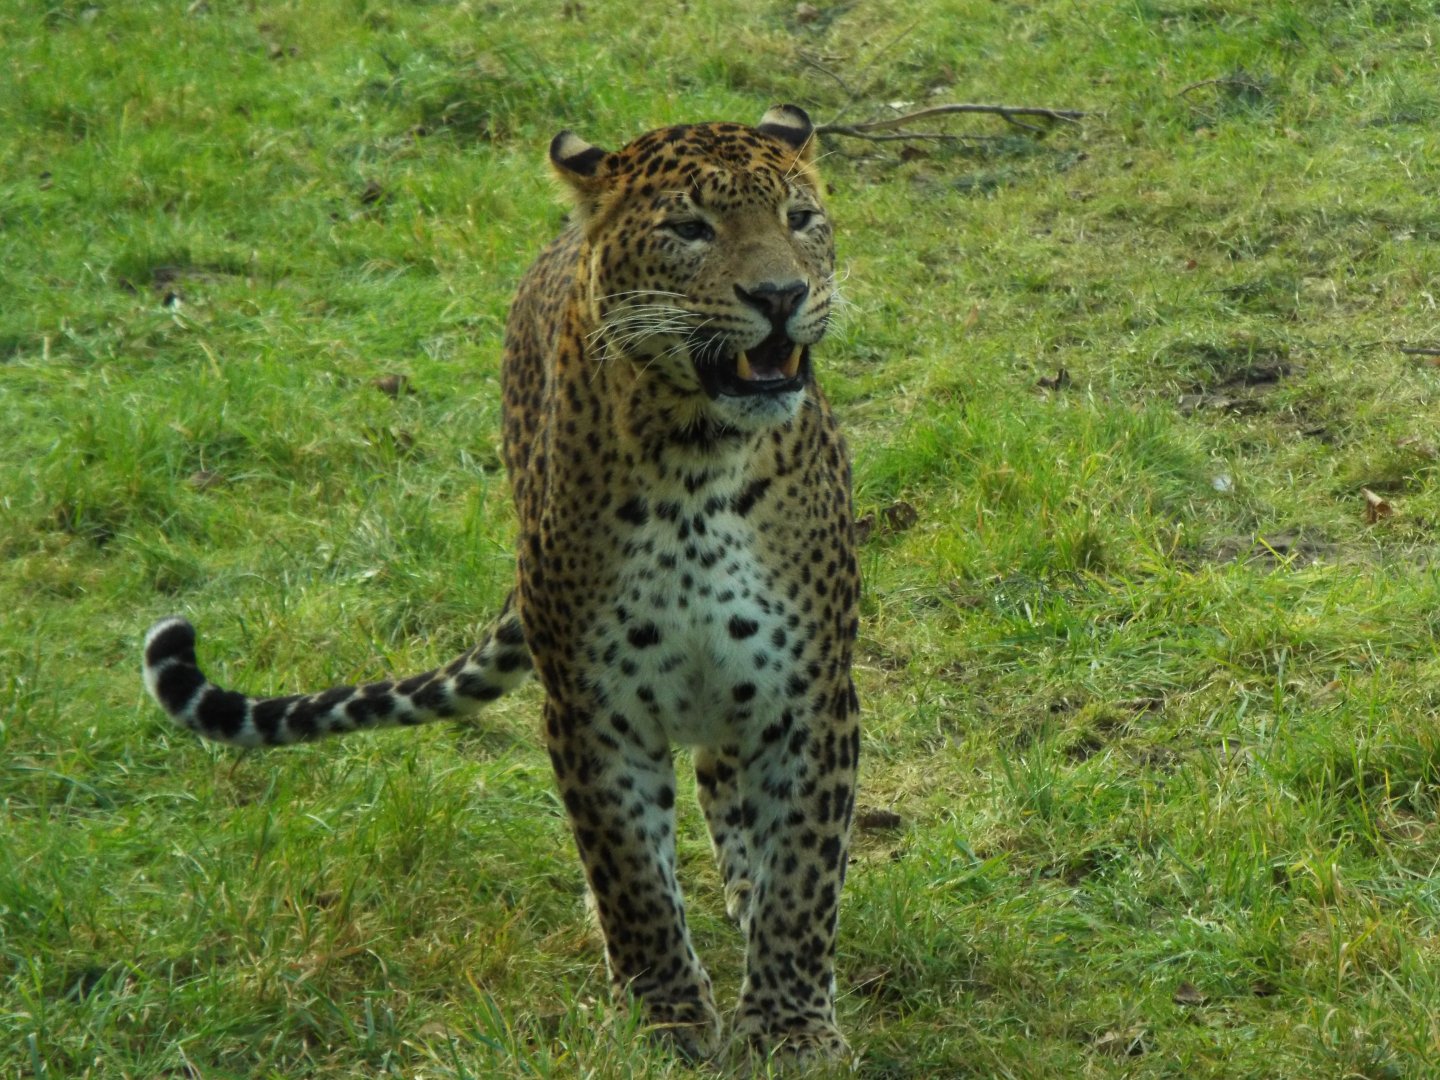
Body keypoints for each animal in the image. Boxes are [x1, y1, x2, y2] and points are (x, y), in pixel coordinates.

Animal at [142, 104, 860, 1063]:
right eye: (689, 230)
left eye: (800, 219)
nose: (780, 295)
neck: (699, 460)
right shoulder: (592, 708)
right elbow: (631, 877)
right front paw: (666, 1016)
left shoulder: (810, 693)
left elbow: (803, 879)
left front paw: (789, 1026)